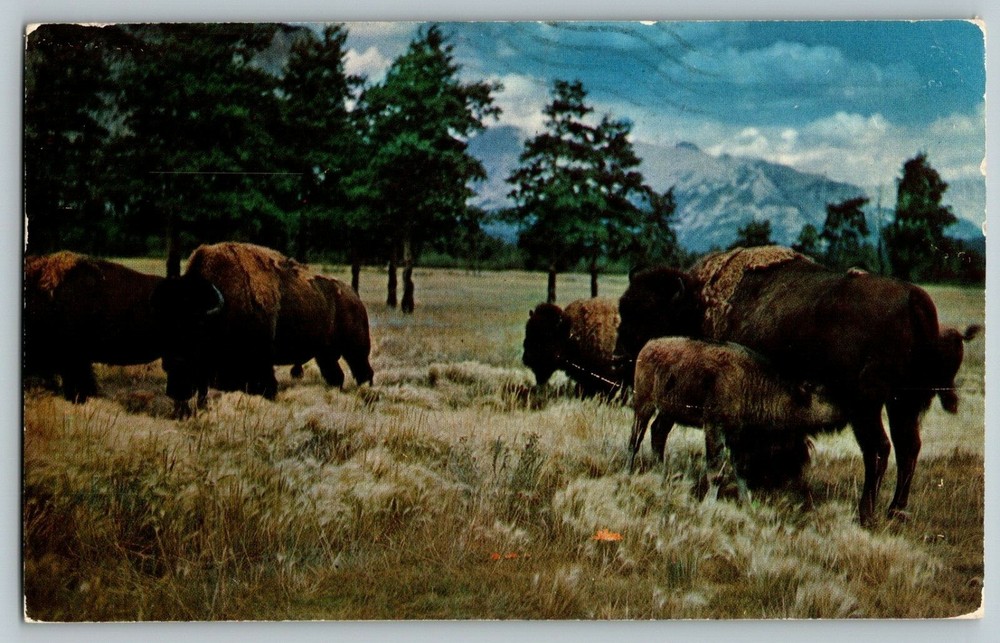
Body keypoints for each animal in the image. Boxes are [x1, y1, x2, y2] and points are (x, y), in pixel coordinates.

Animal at [151, 242, 374, 416]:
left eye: (191, 338)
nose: (174, 391)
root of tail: (354, 297)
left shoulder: (258, 364)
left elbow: (266, 386)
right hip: (325, 355)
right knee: (336, 376)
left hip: (356, 350)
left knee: (364, 373)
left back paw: (368, 396)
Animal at [615, 246, 980, 526]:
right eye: (623, 307)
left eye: (649, 313)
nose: (620, 357)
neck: (699, 300)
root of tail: (913, 299)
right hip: (900, 403)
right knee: (908, 448)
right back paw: (896, 511)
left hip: (866, 407)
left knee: (879, 449)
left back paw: (865, 514)